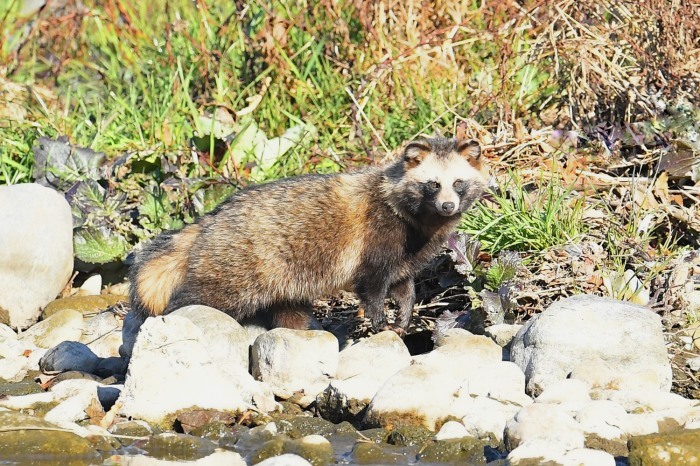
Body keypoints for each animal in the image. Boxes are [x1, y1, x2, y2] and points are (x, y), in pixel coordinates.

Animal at [129, 137, 486, 334]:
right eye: (433, 184)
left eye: (458, 183)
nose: (448, 206)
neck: (422, 219)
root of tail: (208, 220)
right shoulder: (377, 235)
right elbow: (371, 286)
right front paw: (379, 320)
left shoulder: (407, 252)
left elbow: (404, 286)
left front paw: (404, 314)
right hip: (234, 269)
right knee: (201, 298)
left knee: (288, 312)